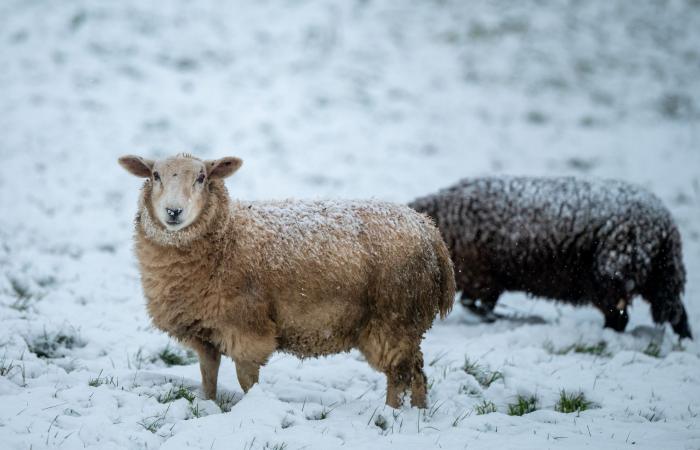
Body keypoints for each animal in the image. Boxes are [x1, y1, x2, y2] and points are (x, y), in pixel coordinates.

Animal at [117, 154, 456, 408]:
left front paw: (252, 407)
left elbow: (247, 380)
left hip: (394, 318)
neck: (227, 238)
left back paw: (390, 414)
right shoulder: (205, 332)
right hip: (407, 324)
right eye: (156, 175)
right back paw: (418, 413)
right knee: (417, 372)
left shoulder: (247, 327)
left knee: (398, 375)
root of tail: (430, 232)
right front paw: (208, 405)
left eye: (201, 177)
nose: (174, 211)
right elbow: (208, 375)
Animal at [412, 176, 692, 338]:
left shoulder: (481, 277)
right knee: (677, 313)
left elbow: (477, 305)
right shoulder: (485, 280)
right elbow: (478, 305)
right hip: (658, 278)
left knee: (621, 319)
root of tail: (666, 228)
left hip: (613, 278)